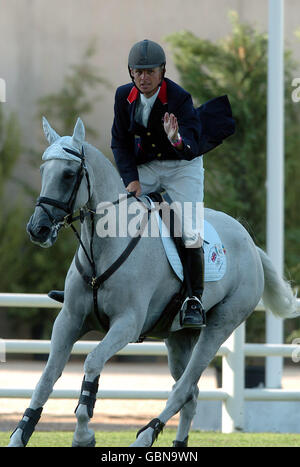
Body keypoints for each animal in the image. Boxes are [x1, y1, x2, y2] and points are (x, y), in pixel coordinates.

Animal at [8, 119, 298, 448]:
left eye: (69, 174)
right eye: (44, 170)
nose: (38, 229)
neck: (104, 244)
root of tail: (250, 244)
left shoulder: (127, 324)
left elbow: (92, 363)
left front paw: (83, 435)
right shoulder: (69, 320)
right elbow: (46, 377)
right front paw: (20, 435)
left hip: (220, 326)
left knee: (183, 388)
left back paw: (145, 435)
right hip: (179, 338)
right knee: (192, 393)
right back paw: (177, 444)